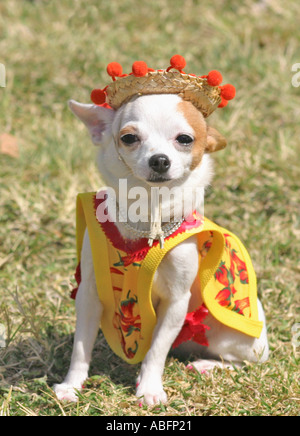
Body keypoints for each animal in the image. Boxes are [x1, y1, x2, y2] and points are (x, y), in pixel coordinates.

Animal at [54, 92, 270, 406]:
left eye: (185, 139)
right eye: (129, 138)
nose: (159, 159)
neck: (146, 219)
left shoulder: (176, 302)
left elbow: (156, 350)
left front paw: (149, 389)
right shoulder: (89, 295)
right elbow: (81, 348)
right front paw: (71, 385)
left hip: (231, 336)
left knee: (241, 362)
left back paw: (207, 365)